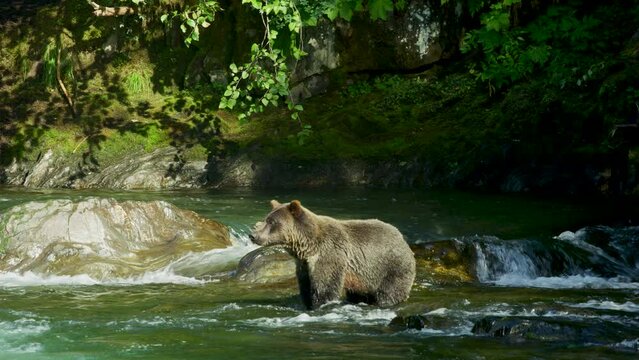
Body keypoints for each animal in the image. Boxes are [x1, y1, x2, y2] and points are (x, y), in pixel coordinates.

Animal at [248, 200, 418, 310]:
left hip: (390, 267)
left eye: (271, 222)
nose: (252, 235)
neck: (308, 246)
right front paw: (307, 302)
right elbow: (306, 285)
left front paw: (319, 304)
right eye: (266, 219)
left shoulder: (330, 254)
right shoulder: (304, 264)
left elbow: (325, 287)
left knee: (390, 292)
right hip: (364, 278)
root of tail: (402, 239)